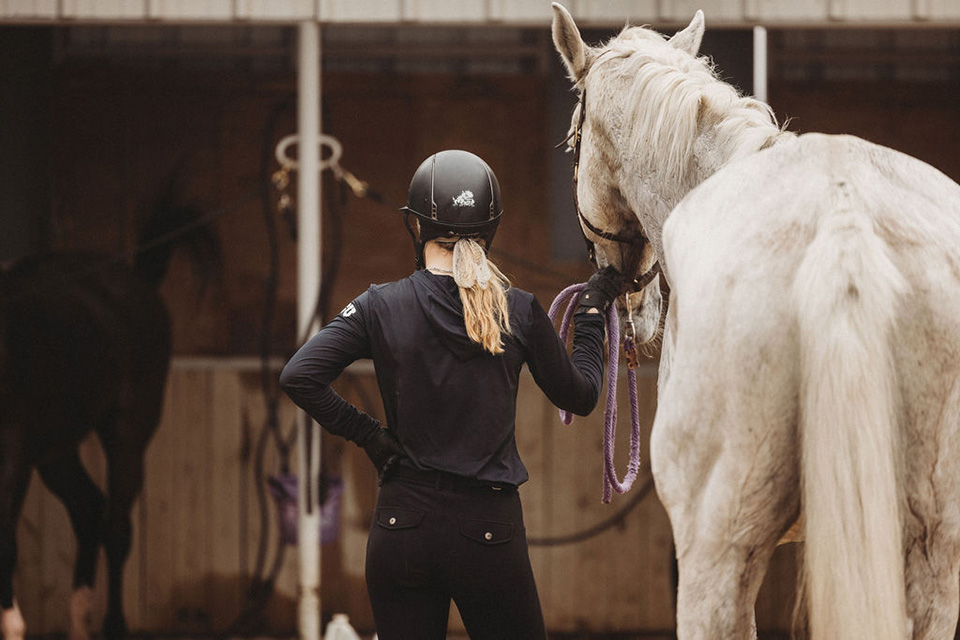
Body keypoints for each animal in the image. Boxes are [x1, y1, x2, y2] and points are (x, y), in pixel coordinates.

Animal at [0, 194, 219, 640]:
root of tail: (135, 282)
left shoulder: (12, 455)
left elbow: (5, 543)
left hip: (126, 436)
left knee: (116, 527)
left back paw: (113, 624)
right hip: (55, 451)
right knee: (88, 510)